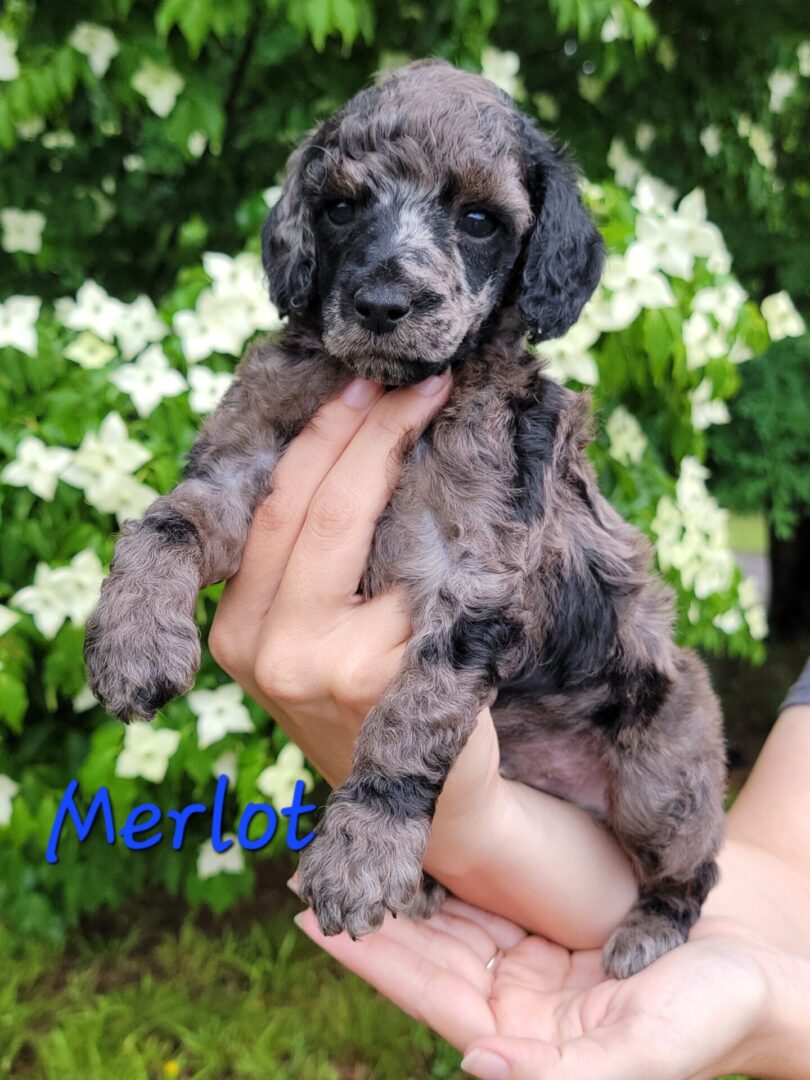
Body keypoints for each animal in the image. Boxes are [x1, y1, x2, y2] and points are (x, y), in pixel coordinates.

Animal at [85, 59, 725, 980]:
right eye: (341, 207)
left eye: (479, 220)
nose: (384, 302)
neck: (396, 388)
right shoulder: (242, 466)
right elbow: (166, 524)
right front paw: (133, 640)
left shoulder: (478, 576)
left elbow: (413, 715)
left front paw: (364, 848)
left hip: (662, 781)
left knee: (694, 867)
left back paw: (649, 932)